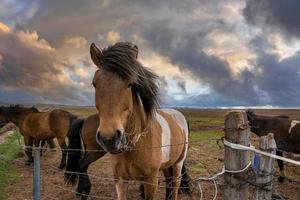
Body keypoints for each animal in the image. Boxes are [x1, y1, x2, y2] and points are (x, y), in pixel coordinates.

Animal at [86, 41, 190, 199]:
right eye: (94, 84)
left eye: (130, 84)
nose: (109, 138)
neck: (134, 145)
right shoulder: (120, 179)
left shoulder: (151, 181)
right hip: (167, 165)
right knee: (169, 182)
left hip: (178, 163)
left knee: (176, 184)